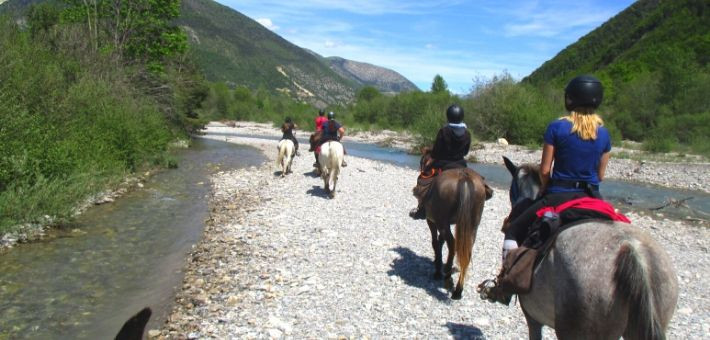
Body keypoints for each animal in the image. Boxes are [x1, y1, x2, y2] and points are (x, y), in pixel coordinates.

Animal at [420, 150, 492, 298]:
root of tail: (464, 178)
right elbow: (440, 242)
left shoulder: (432, 222)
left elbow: (435, 243)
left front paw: (437, 270)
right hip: (472, 226)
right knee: (466, 252)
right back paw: (458, 290)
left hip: (443, 223)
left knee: (452, 244)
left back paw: (447, 272)